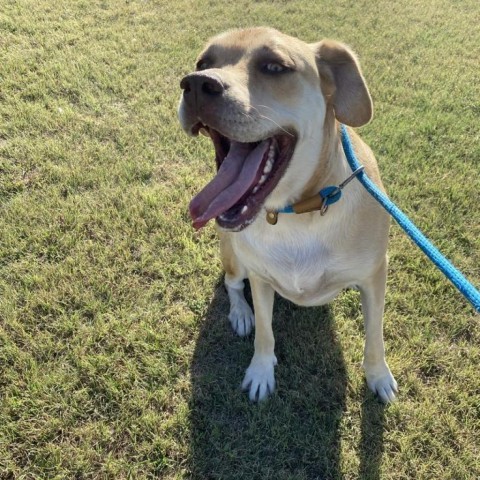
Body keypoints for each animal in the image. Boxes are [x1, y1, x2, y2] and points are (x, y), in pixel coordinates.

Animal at [179, 26, 398, 402]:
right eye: (203, 62)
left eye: (274, 67)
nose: (194, 83)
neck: (298, 213)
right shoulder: (260, 277)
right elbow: (265, 333)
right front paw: (260, 371)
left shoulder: (374, 275)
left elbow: (375, 336)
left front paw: (378, 376)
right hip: (235, 258)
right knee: (232, 284)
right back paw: (241, 314)